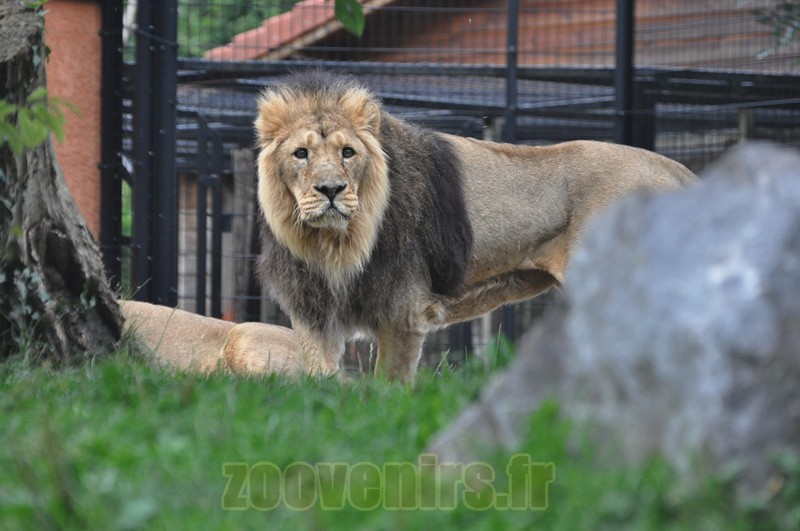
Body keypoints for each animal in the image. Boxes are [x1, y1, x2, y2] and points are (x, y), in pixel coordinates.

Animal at [254, 70, 697, 383]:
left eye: (348, 152)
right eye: (301, 154)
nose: (331, 189)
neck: (335, 243)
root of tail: (674, 168)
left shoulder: (403, 309)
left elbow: (389, 384)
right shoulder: (313, 313)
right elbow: (320, 379)